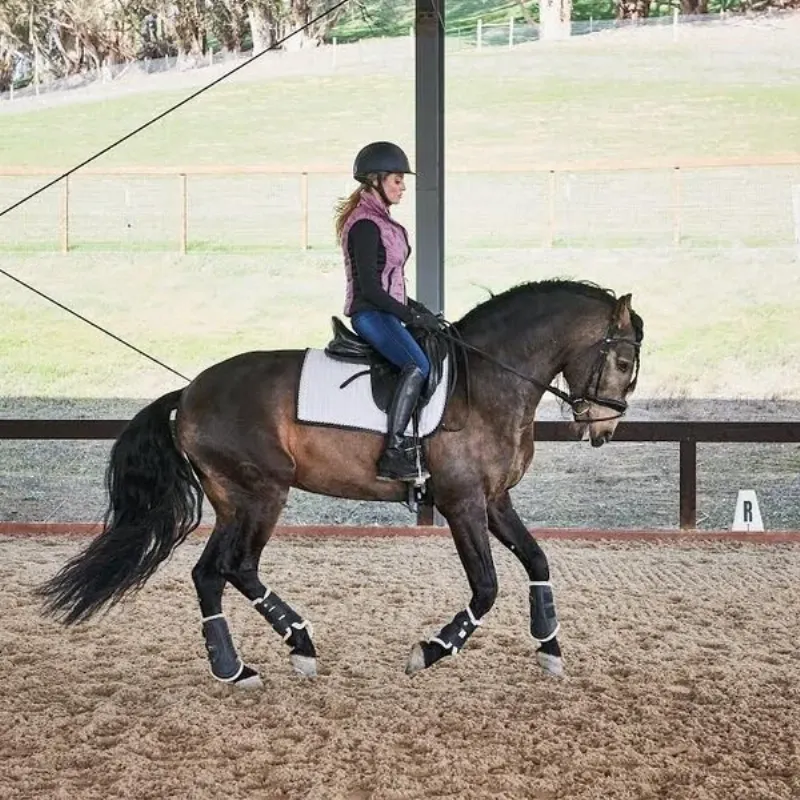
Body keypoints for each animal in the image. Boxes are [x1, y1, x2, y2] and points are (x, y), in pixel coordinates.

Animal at [35, 278, 644, 689]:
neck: (489, 382)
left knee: (211, 573)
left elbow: (538, 560)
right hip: (262, 493)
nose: (604, 429)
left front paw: (550, 646)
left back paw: (239, 666)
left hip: (234, 501)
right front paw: (432, 649)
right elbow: (487, 587)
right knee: (237, 567)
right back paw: (290, 647)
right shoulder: (462, 502)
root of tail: (187, 395)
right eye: (624, 360)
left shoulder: (495, 499)